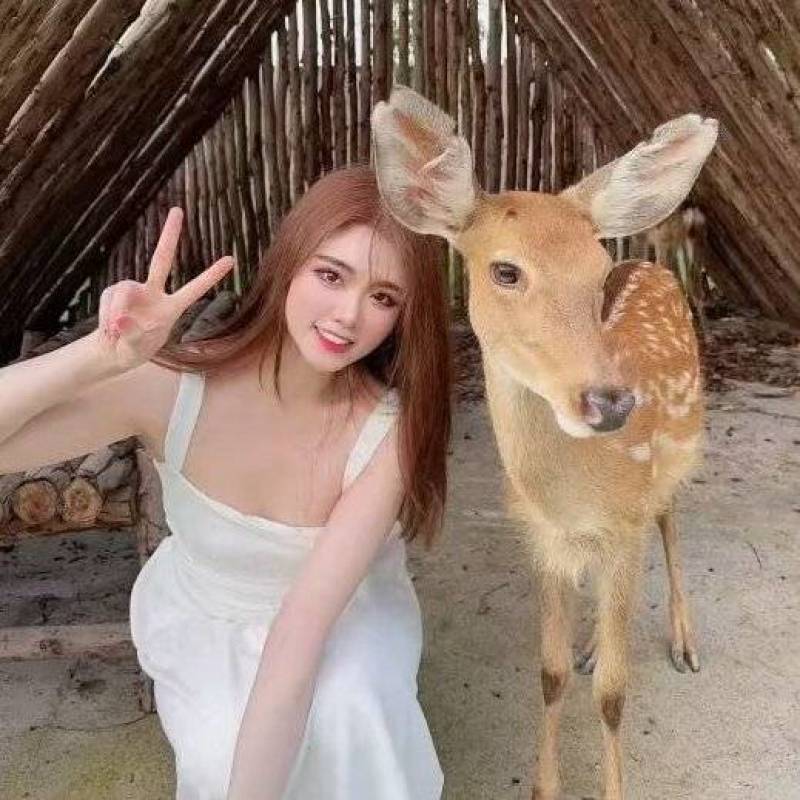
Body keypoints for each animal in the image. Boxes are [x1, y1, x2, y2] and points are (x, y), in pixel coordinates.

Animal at [371, 87, 718, 800]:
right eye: (505, 270)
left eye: (598, 269)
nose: (610, 402)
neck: (577, 491)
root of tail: (655, 264)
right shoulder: (542, 538)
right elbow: (550, 675)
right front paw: (544, 784)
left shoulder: (625, 522)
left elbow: (614, 694)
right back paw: (594, 643)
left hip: (678, 458)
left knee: (671, 523)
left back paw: (684, 642)